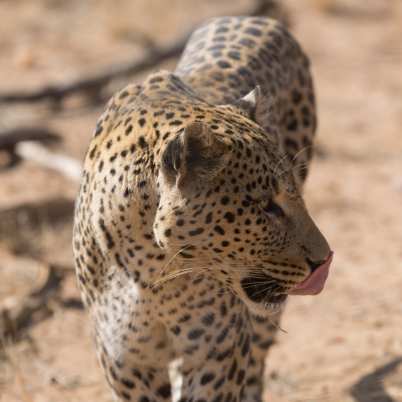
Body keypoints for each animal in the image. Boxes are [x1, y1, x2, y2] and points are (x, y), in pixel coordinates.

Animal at [73, 14, 332, 402]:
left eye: (291, 198)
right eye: (267, 207)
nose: (325, 261)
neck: (152, 274)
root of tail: (254, 17)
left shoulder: (217, 352)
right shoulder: (126, 363)